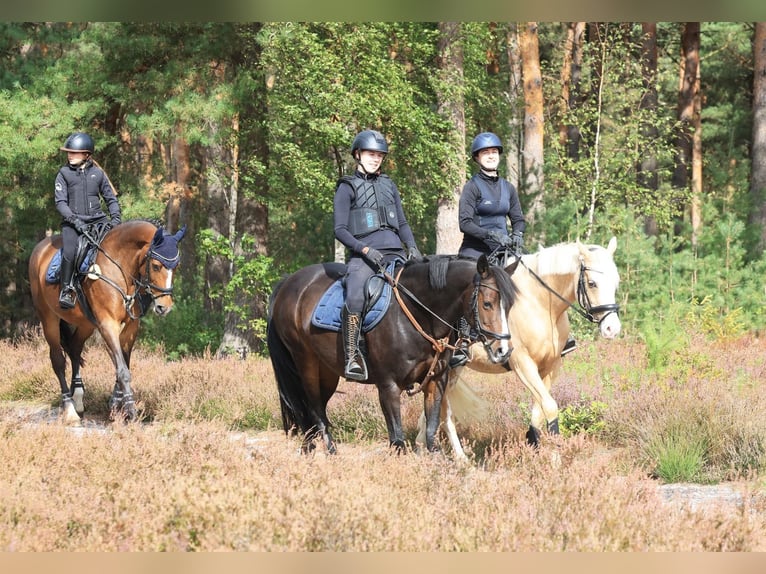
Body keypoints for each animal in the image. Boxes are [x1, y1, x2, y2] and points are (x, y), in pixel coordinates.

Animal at [28, 219, 187, 424]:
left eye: (176, 266)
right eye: (156, 266)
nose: (163, 307)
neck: (120, 268)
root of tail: (41, 248)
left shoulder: (130, 327)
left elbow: (122, 364)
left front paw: (115, 406)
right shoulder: (108, 324)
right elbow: (123, 370)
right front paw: (130, 411)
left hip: (86, 324)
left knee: (75, 349)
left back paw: (78, 398)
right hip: (49, 318)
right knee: (58, 360)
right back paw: (70, 409)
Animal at [266, 254, 518, 454]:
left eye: (509, 306)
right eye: (487, 303)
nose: (503, 351)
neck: (417, 313)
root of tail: (289, 282)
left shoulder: (435, 381)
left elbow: (431, 430)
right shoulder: (389, 386)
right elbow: (397, 438)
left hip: (327, 371)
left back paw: (309, 447)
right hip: (306, 361)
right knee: (312, 406)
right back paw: (327, 449)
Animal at [417, 237, 621, 458]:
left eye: (616, 282)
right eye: (592, 283)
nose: (612, 329)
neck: (540, 303)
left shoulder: (550, 367)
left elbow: (538, 411)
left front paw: (535, 446)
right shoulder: (523, 364)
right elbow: (550, 407)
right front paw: (554, 458)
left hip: (453, 369)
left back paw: (424, 445)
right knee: (444, 409)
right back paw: (456, 456)